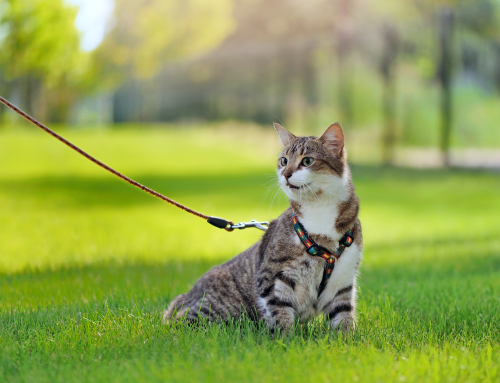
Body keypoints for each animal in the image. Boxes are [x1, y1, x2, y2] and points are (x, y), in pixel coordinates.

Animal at [164, 123, 364, 332]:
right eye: (284, 161)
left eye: (307, 161)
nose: (285, 174)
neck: (319, 211)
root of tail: (182, 299)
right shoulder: (273, 276)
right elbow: (280, 311)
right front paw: (285, 338)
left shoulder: (342, 282)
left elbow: (343, 316)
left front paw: (346, 338)